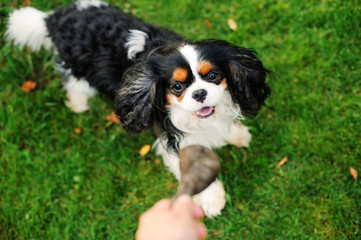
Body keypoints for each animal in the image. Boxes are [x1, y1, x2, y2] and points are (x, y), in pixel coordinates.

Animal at [6, 0, 270, 217]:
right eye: (176, 86)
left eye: (213, 76)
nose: (200, 93)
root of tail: (55, 18)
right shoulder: (173, 138)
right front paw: (213, 200)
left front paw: (236, 135)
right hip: (77, 67)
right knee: (74, 83)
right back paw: (79, 104)